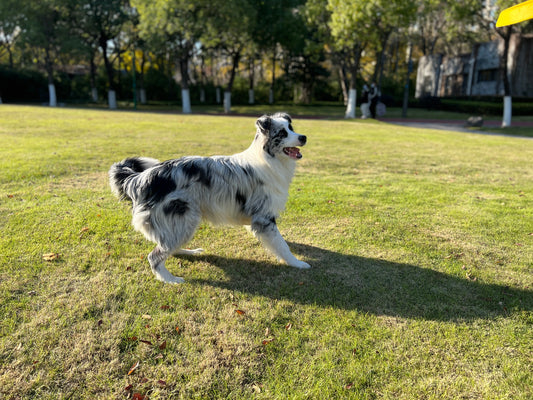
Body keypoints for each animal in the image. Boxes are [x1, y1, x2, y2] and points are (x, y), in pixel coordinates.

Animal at [108, 111, 308, 282]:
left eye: (291, 128)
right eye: (282, 133)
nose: (304, 137)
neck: (268, 158)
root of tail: (139, 178)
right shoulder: (264, 218)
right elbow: (281, 244)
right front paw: (297, 263)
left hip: (179, 223)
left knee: (168, 246)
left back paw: (189, 252)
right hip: (183, 218)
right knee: (155, 256)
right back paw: (170, 279)